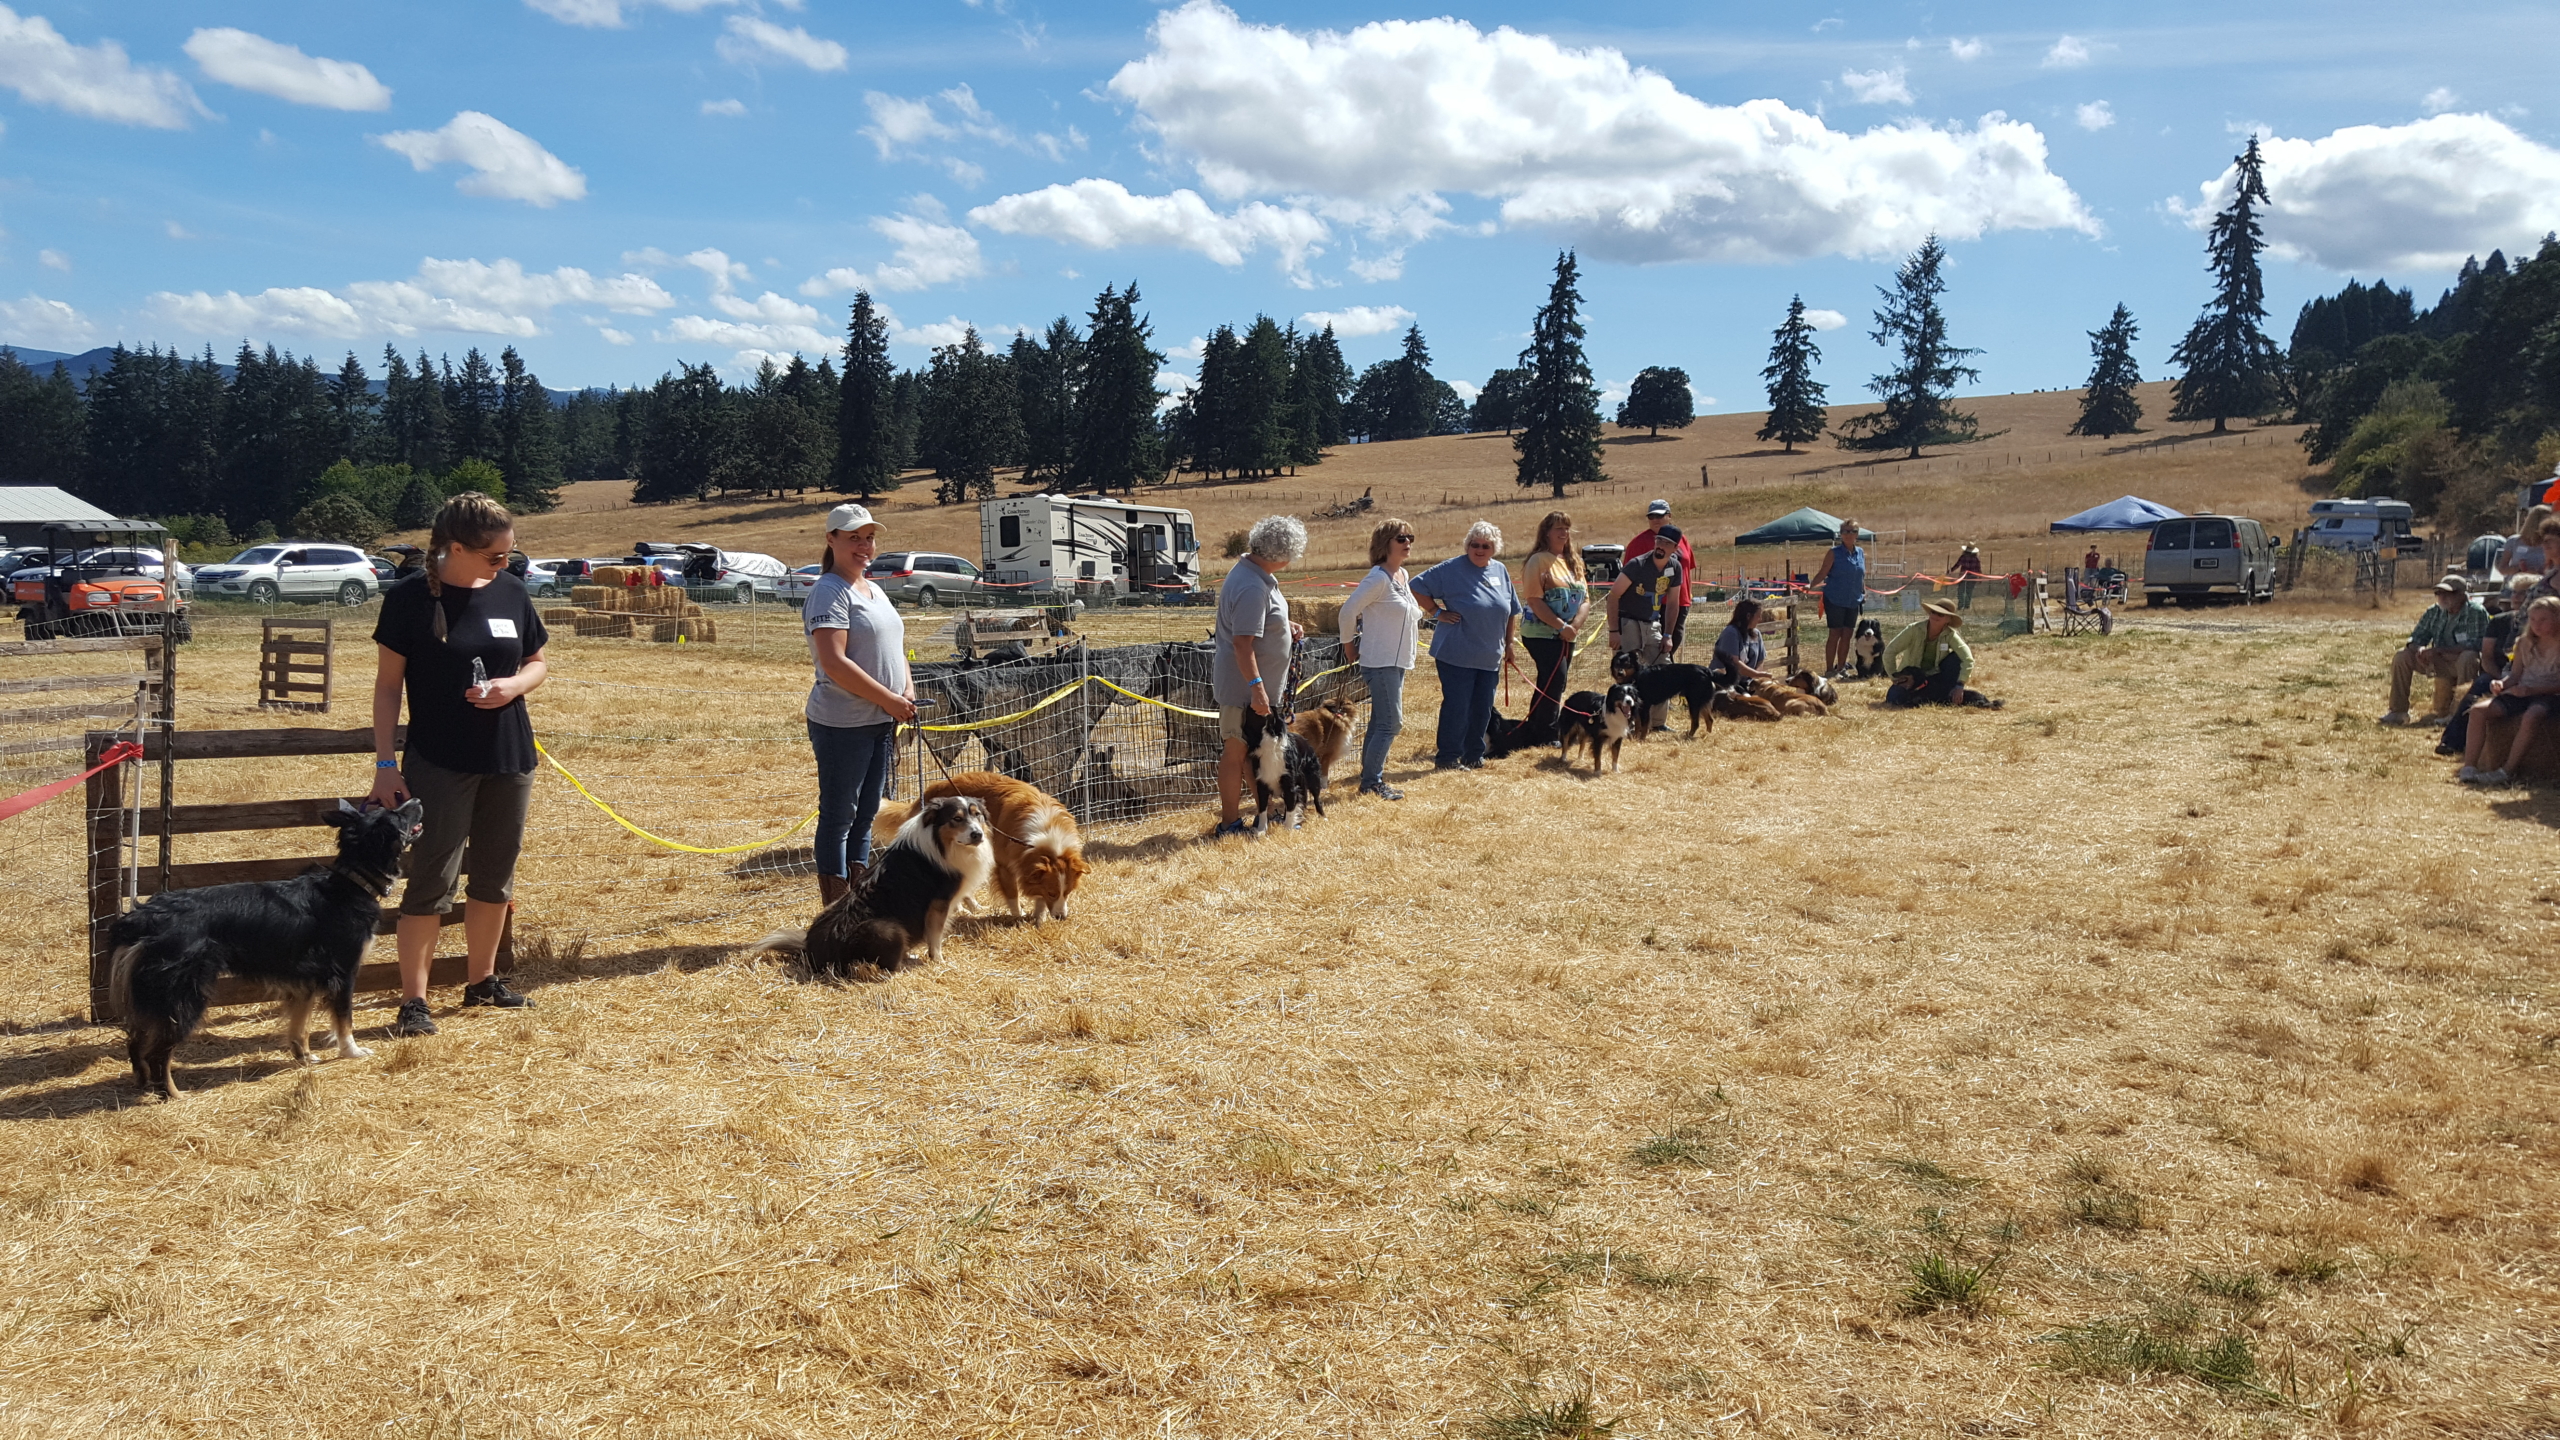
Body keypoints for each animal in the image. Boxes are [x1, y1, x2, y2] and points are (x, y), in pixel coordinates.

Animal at [106, 794, 424, 1096]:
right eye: (397, 815)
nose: (417, 800)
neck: (352, 882)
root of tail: (143, 916)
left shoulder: (306, 981)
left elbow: (300, 1025)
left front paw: (304, 1057)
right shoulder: (343, 973)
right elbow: (344, 1020)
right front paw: (352, 1051)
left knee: (136, 1044)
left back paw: (144, 1086)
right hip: (183, 997)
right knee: (159, 1052)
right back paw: (174, 1094)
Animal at [752, 789, 993, 968]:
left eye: (977, 814)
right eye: (956, 818)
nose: (977, 835)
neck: (941, 842)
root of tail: (811, 950)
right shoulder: (938, 905)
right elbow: (935, 936)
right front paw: (939, 961)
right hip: (887, 929)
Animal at [1249, 696, 1331, 830]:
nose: (1259, 702)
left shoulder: (1289, 783)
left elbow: (1292, 807)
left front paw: (1288, 829)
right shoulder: (1262, 784)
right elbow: (1262, 809)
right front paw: (1261, 830)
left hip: (1312, 777)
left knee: (1316, 798)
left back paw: (1323, 816)